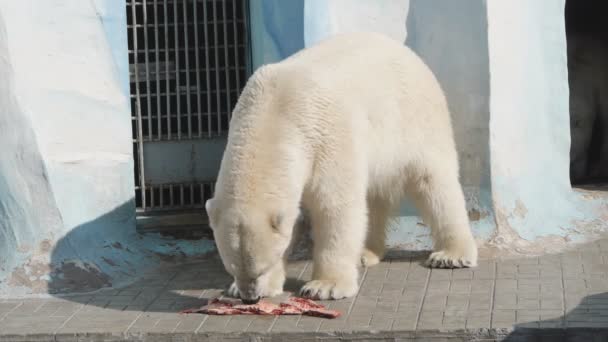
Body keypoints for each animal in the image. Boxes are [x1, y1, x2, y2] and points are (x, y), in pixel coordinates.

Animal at [207, 32, 478, 302]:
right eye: (232, 267)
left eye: (261, 268)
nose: (249, 297)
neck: (273, 111)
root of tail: (409, 53)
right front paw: (239, 288)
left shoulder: (326, 138)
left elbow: (335, 206)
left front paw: (325, 286)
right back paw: (366, 252)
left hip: (415, 119)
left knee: (434, 182)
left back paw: (452, 255)